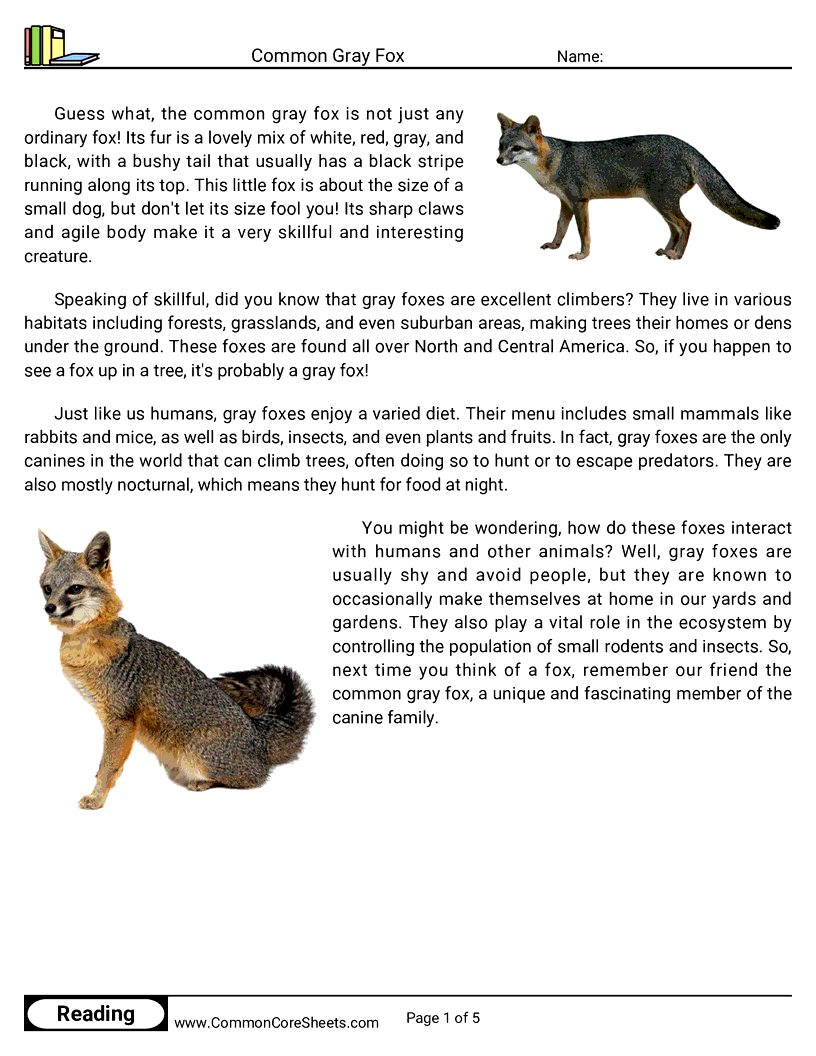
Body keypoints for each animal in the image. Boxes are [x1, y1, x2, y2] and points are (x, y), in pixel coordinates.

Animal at [38, 529, 314, 809]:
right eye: (47, 589)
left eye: (75, 589)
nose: (49, 608)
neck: (86, 642)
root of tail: (257, 732)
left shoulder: (121, 720)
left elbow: (108, 766)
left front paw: (97, 797)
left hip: (195, 757)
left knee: (254, 780)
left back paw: (203, 782)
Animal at [496, 114, 780, 259]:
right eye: (500, 146)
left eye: (516, 148)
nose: (498, 160)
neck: (554, 160)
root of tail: (686, 145)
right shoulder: (565, 203)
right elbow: (560, 228)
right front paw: (555, 246)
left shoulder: (579, 202)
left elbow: (583, 233)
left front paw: (582, 255)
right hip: (658, 204)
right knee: (676, 228)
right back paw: (668, 249)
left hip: (662, 202)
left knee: (687, 224)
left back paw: (677, 255)